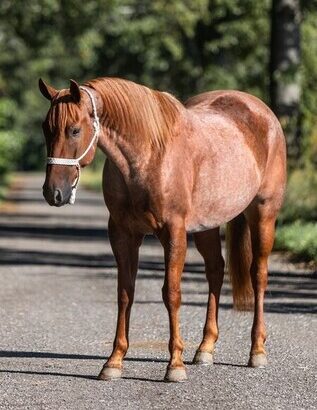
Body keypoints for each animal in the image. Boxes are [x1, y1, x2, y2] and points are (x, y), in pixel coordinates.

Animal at [38, 76, 286, 382]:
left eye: (74, 130)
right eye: (46, 128)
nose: (53, 193)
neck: (148, 156)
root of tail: (263, 113)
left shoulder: (173, 232)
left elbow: (171, 294)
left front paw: (175, 365)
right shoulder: (123, 235)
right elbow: (125, 293)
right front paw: (114, 361)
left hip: (263, 214)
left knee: (258, 275)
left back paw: (257, 351)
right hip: (207, 226)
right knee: (215, 271)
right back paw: (205, 349)